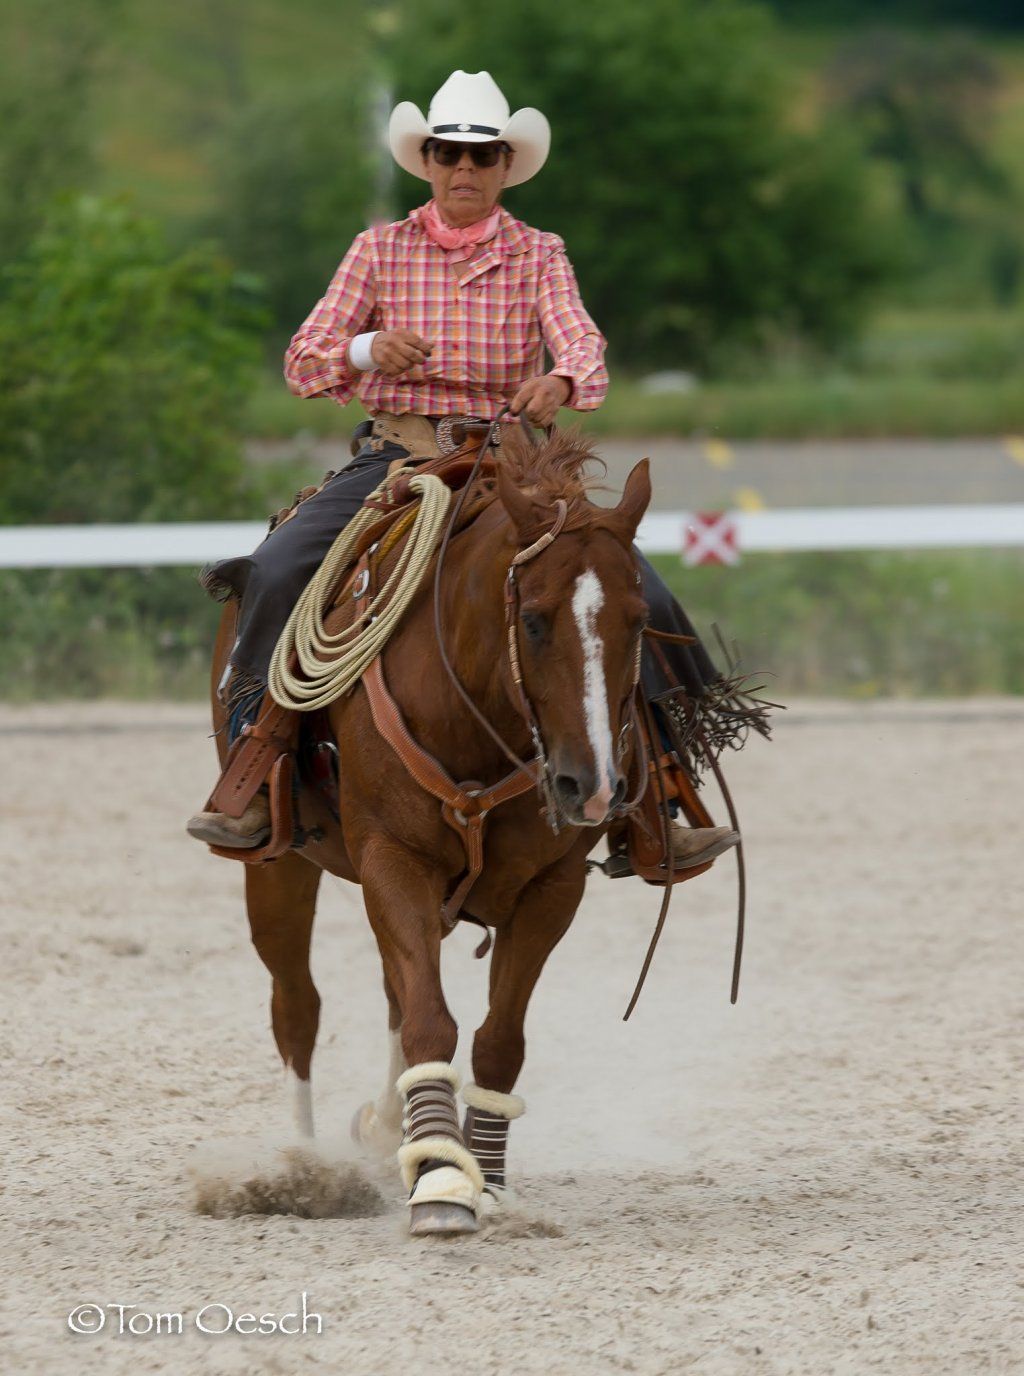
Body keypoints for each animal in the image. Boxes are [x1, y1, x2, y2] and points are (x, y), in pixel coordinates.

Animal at [206, 430, 652, 1235]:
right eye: (534, 618)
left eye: (638, 620)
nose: (593, 786)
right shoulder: (395, 859)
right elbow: (428, 1023)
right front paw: (442, 1181)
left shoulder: (553, 888)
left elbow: (497, 1039)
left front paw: (486, 1179)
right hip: (279, 864)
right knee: (297, 1007)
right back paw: (306, 1170)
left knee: (388, 991)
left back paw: (390, 1131)